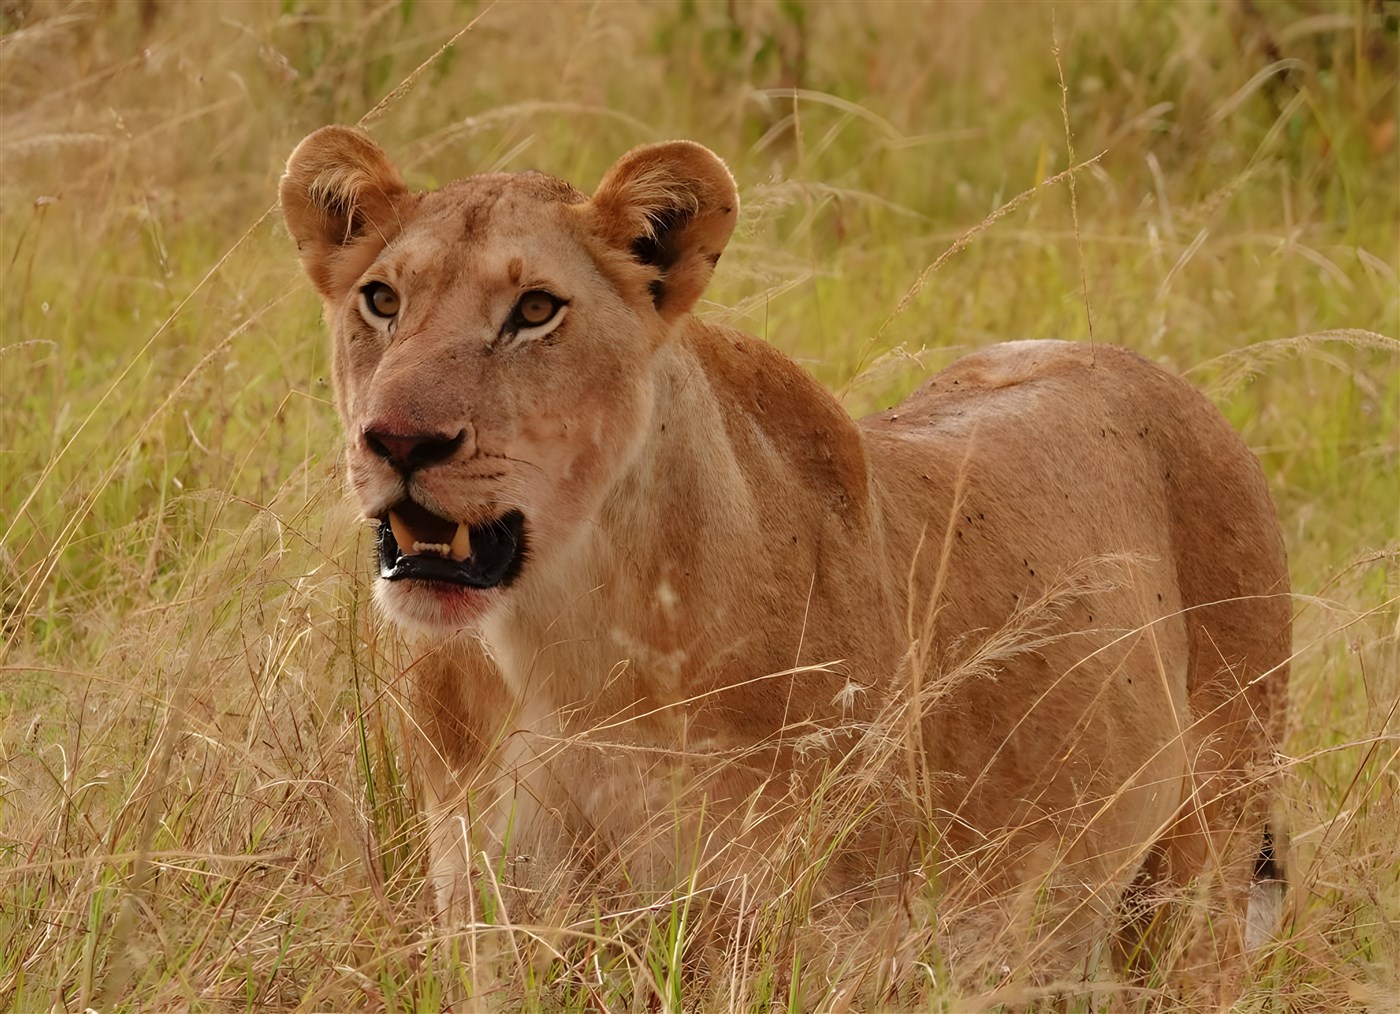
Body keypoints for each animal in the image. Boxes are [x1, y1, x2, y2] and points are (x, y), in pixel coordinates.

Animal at [280, 126, 1290, 1000]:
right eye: (382, 300)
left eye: (535, 311)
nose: (399, 441)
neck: (568, 647)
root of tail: (1158, 375)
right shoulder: (494, 914)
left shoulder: (816, 931)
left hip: (1200, 869)